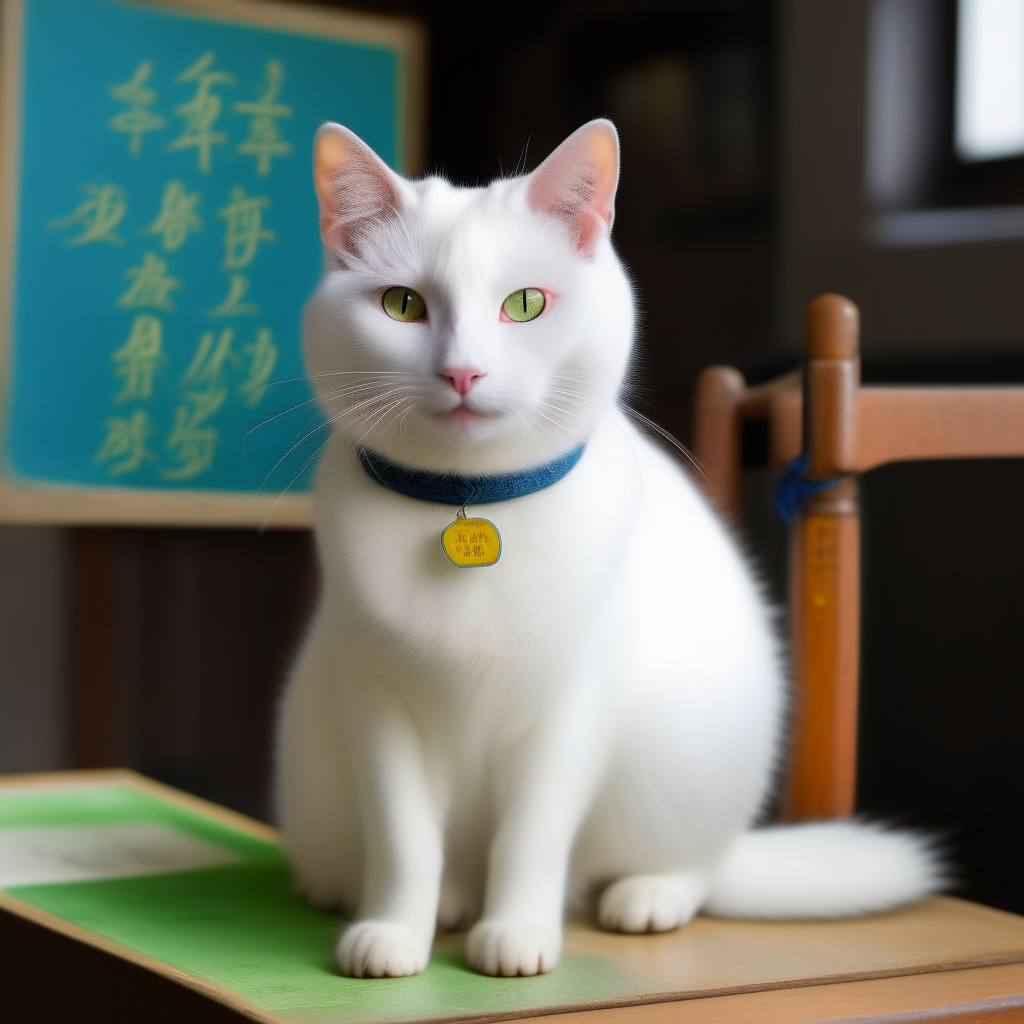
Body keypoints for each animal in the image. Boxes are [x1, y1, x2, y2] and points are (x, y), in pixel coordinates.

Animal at [276, 123, 937, 978]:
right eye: (402, 305)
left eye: (525, 304)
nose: (463, 371)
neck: (471, 503)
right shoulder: (377, 701)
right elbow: (404, 840)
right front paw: (392, 930)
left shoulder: (574, 705)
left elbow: (530, 838)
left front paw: (517, 933)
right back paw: (422, 896)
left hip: (688, 769)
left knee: (687, 865)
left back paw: (645, 895)